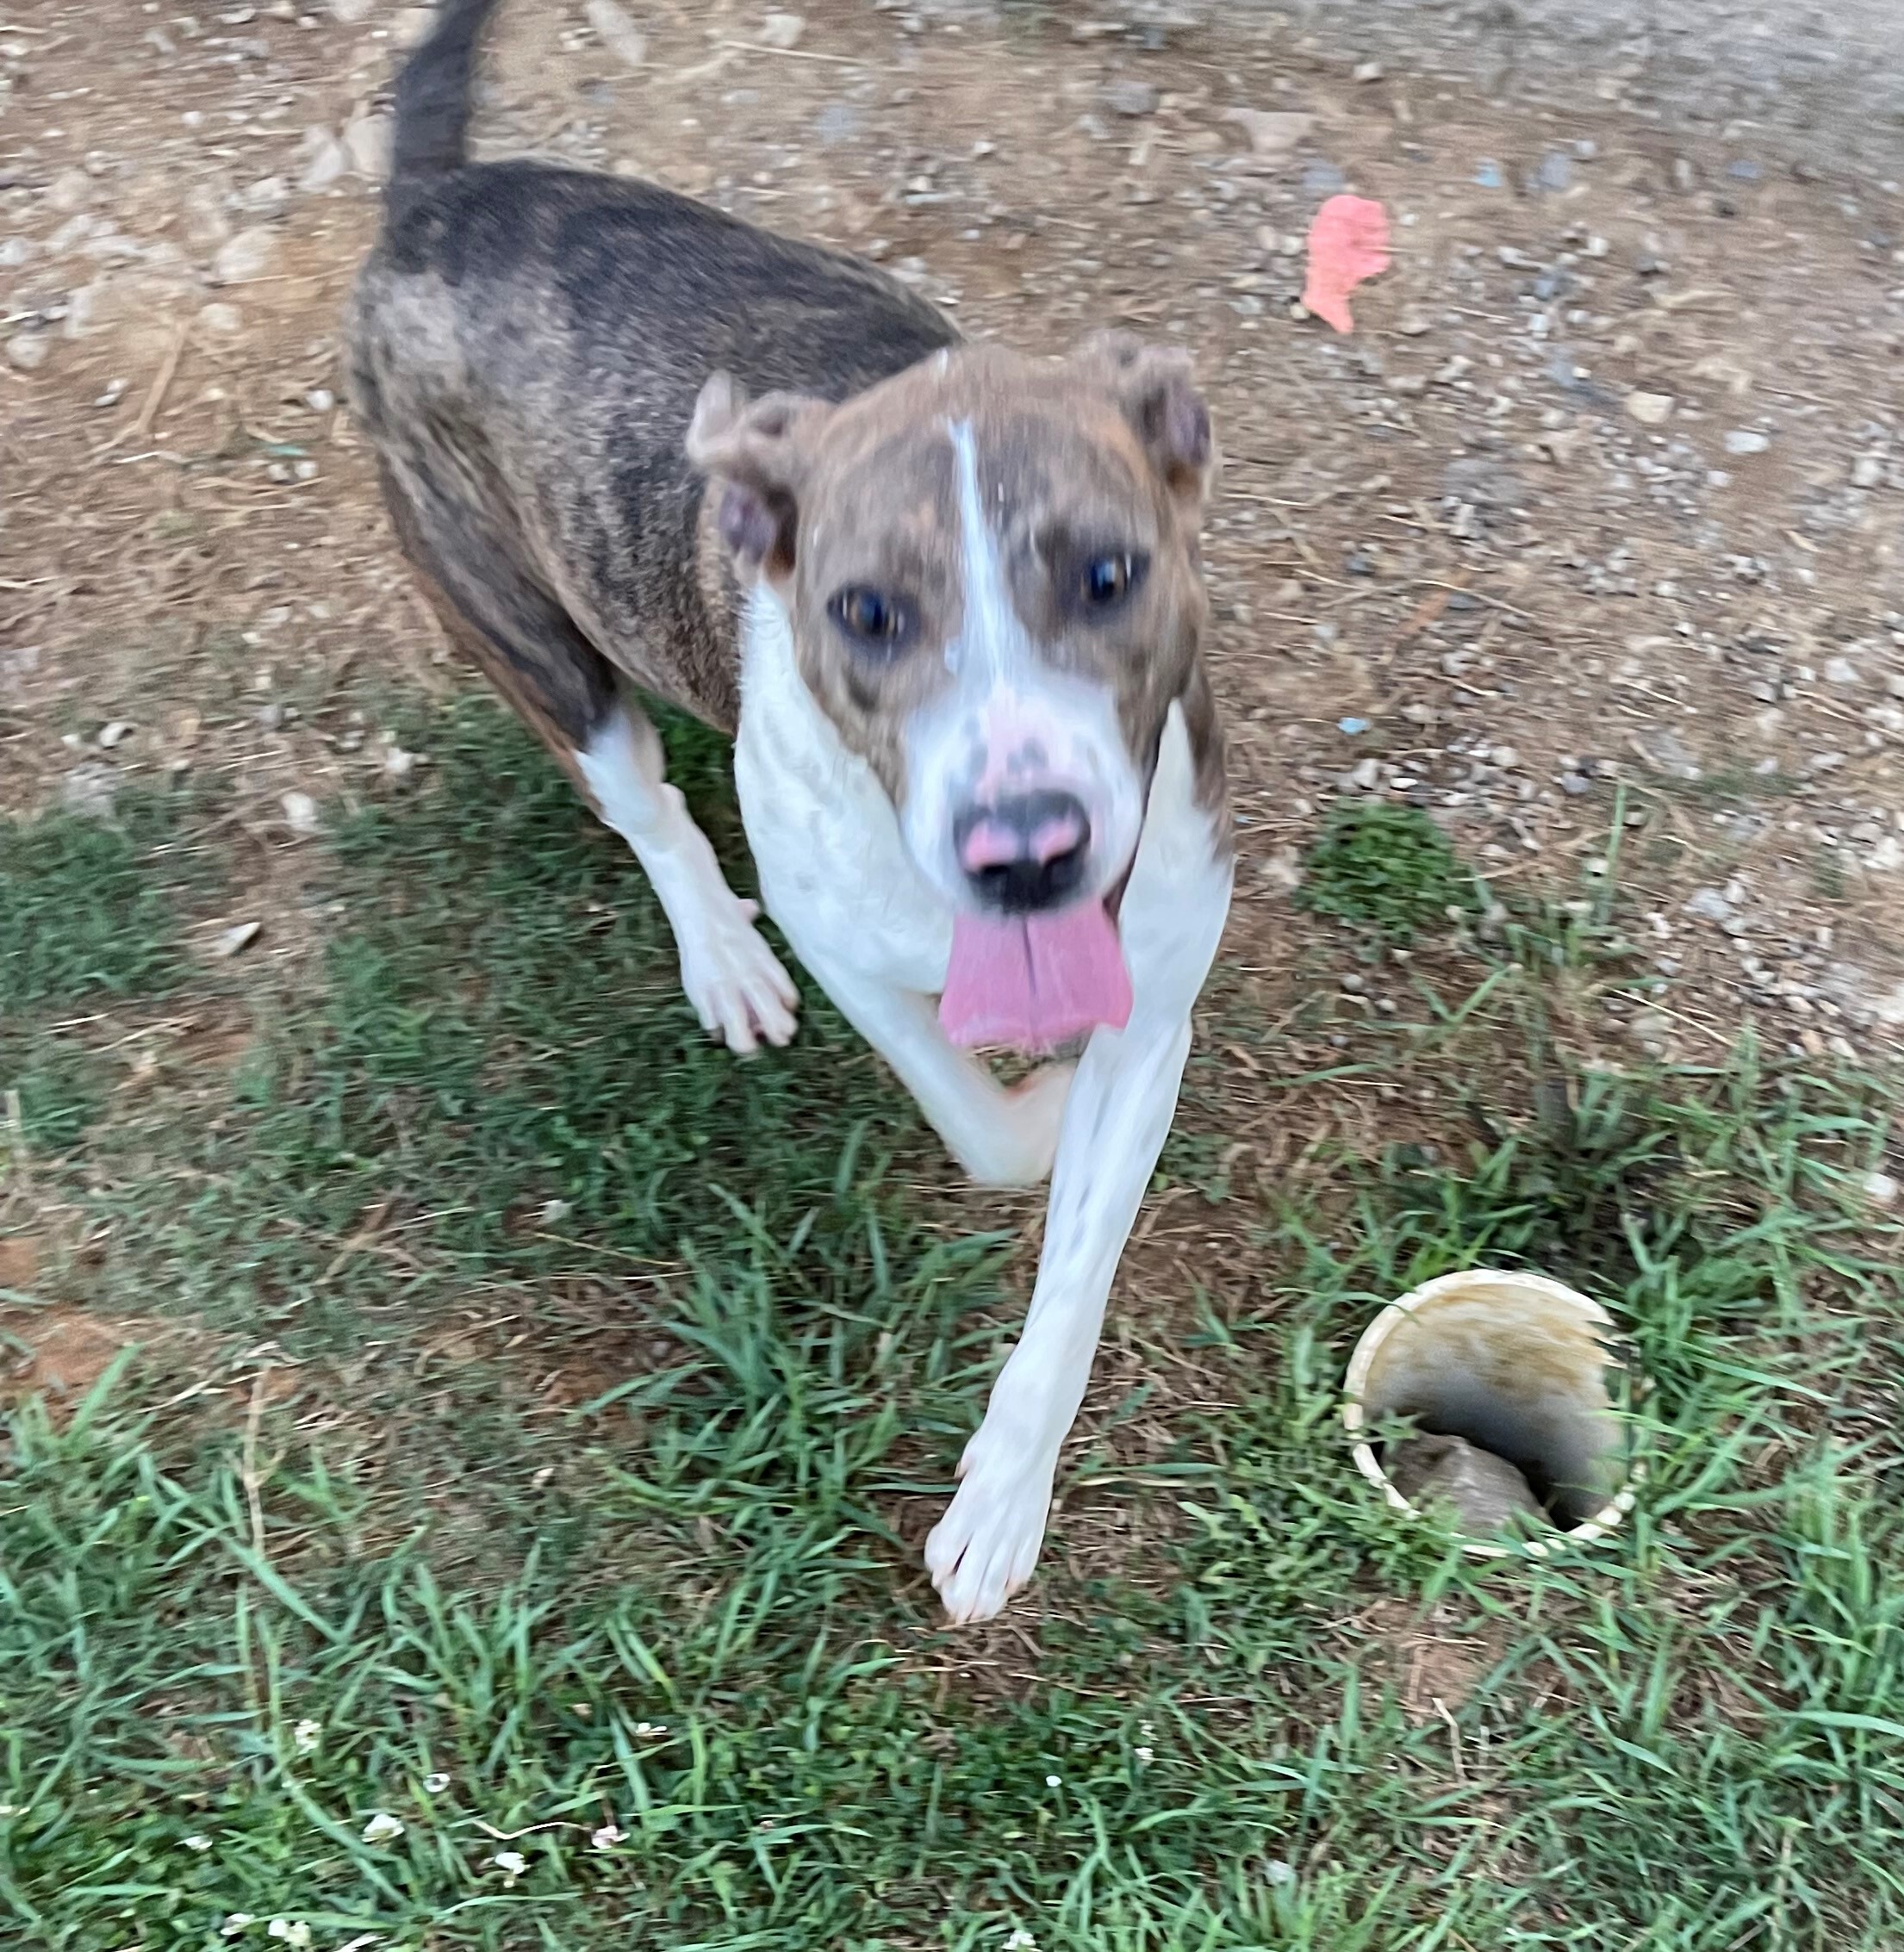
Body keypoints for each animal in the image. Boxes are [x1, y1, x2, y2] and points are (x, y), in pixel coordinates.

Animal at [345, 0, 1234, 1624]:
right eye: (866, 612)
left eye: (1107, 575)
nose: (1028, 851)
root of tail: (432, 198)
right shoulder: (857, 951)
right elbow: (987, 1126)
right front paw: (1033, 1098)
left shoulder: (1154, 976)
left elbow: (1072, 1271)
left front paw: (1003, 1498)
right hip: (525, 630)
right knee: (643, 802)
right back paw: (719, 953)